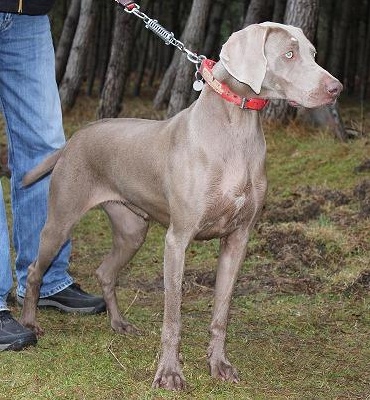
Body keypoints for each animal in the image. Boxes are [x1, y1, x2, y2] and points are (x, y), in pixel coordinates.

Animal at [20, 22, 342, 390]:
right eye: (288, 54)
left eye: (313, 53)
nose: (336, 88)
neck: (236, 127)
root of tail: (75, 138)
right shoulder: (177, 240)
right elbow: (173, 317)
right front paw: (170, 372)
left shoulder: (238, 239)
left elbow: (221, 312)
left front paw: (219, 364)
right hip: (61, 220)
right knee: (34, 270)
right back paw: (29, 324)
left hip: (132, 230)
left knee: (105, 272)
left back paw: (119, 324)